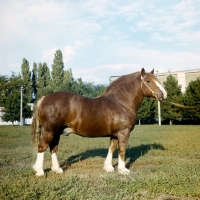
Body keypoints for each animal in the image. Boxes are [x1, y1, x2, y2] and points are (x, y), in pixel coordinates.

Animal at [31, 68, 167, 176]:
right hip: (50, 131)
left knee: (53, 147)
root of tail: (44, 98)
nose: (164, 94)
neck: (121, 102)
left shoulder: (115, 134)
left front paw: (109, 168)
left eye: (157, 79)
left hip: (56, 132)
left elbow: (112, 148)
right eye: (148, 81)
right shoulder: (124, 133)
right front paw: (123, 170)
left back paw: (57, 169)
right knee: (42, 146)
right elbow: (122, 150)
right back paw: (40, 171)